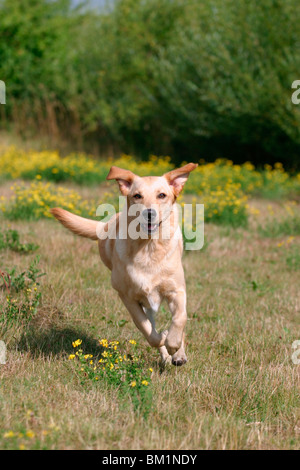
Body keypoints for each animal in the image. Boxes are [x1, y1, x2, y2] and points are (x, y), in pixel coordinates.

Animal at [50, 163, 198, 366]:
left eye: (162, 195)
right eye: (137, 195)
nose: (149, 213)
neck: (148, 248)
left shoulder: (177, 289)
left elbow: (180, 318)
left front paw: (175, 344)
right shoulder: (127, 297)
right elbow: (147, 330)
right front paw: (164, 340)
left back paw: (178, 354)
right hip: (146, 303)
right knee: (151, 325)